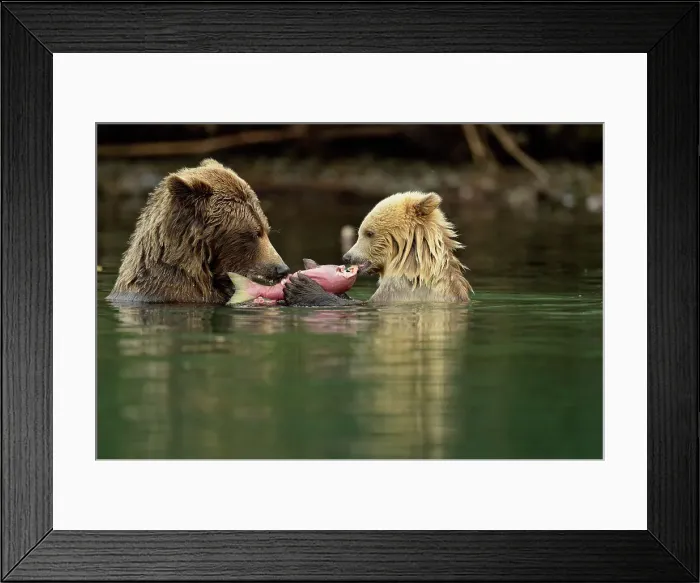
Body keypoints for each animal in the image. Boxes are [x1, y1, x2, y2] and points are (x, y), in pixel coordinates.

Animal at [282, 191, 472, 306]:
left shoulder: (402, 291)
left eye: (369, 233)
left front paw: (301, 287)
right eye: (360, 232)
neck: (408, 264)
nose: (347, 257)